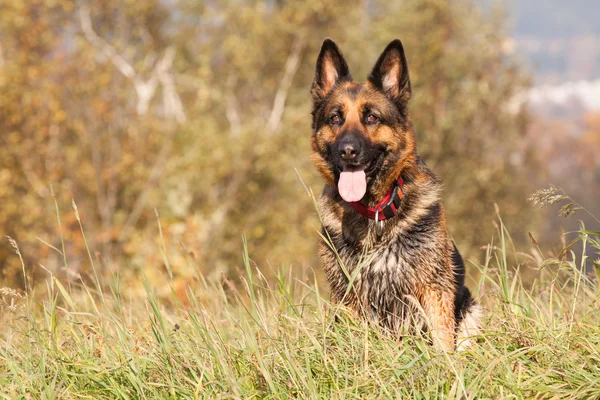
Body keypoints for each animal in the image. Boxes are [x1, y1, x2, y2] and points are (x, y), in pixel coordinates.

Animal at [312, 37, 480, 350]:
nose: (348, 151)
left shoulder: (434, 291)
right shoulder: (348, 298)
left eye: (371, 117)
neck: (376, 212)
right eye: (335, 118)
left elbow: (442, 343)